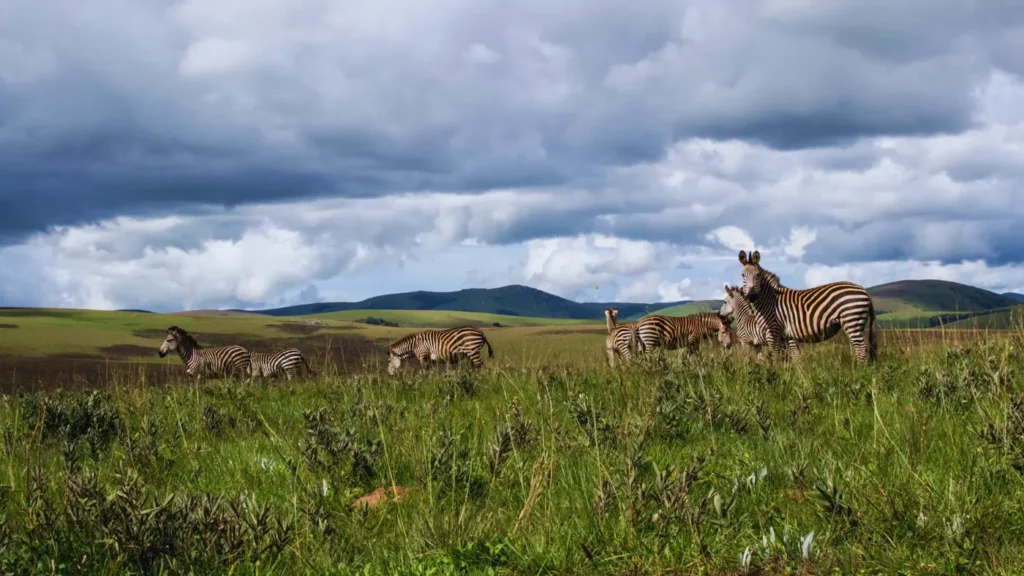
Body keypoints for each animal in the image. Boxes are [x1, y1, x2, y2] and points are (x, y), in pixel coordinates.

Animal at [738, 250, 877, 362]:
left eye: (758, 275)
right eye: (742, 275)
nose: (751, 296)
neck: (769, 301)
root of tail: (864, 290)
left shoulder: (773, 331)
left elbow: (777, 357)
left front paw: (776, 373)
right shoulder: (787, 335)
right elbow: (794, 358)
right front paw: (797, 376)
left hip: (851, 320)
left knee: (861, 349)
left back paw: (859, 372)